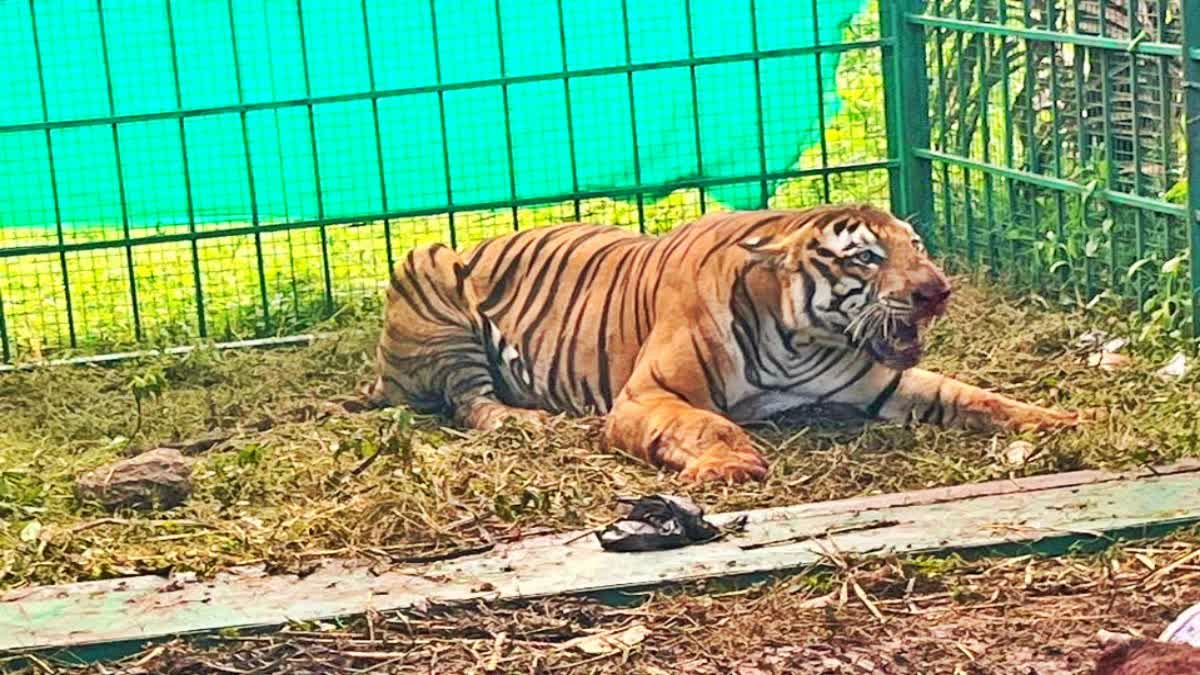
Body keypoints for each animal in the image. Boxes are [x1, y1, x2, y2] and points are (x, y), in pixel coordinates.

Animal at [367, 204, 1082, 483]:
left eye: (917, 245)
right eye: (867, 257)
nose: (939, 291)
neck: (801, 341)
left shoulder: (883, 383)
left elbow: (974, 396)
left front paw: (1056, 419)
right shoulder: (644, 394)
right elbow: (707, 424)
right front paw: (731, 463)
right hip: (429, 264)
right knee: (469, 402)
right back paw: (527, 422)